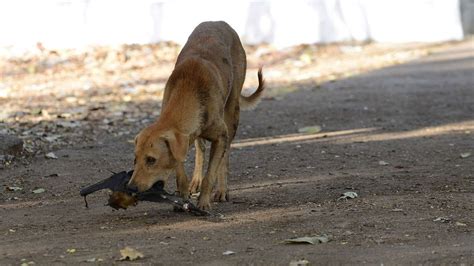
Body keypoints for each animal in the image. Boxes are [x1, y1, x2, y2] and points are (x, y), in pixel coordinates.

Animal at [128, 21, 264, 210]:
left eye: (151, 160)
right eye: (135, 159)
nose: (130, 188)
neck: (188, 90)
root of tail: (219, 22)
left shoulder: (220, 136)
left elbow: (211, 173)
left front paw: (204, 202)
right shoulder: (182, 140)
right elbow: (180, 168)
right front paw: (184, 194)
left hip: (232, 113)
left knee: (225, 155)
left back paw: (222, 190)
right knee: (200, 150)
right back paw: (196, 181)